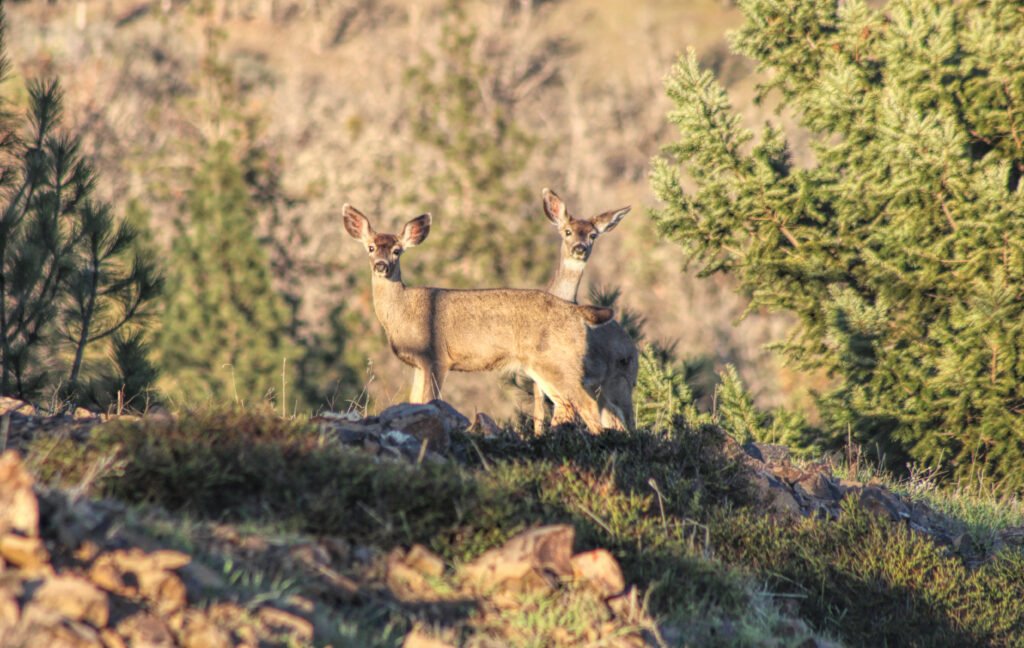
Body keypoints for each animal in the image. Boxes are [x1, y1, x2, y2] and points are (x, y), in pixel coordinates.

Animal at [343, 204, 616, 434]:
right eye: (370, 247)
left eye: (397, 251)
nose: (381, 265)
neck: (403, 312)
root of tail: (576, 311)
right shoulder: (419, 364)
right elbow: (415, 401)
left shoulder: (437, 356)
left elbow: (430, 400)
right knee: (568, 405)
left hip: (558, 360)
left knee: (587, 404)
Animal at [532, 188, 638, 434]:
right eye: (567, 231)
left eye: (593, 235)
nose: (579, 248)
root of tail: (634, 348)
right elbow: (539, 414)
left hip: (621, 381)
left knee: (629, 420)